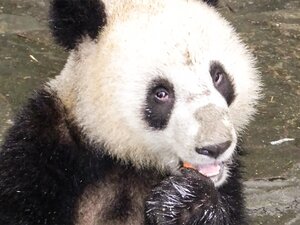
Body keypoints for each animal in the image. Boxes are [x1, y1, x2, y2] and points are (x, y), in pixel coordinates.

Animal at [0, 0, 260, 224]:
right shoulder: (40, 156)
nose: (216, 147)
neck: (126, 157)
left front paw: (187, 201)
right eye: (161, 93)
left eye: (218, 76)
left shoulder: (230, 181)